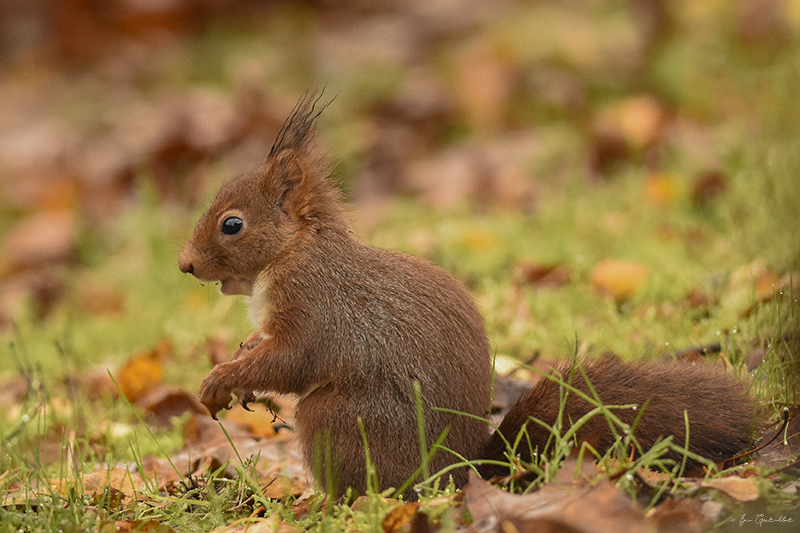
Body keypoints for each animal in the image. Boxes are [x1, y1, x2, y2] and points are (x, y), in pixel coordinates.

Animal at [178, 95, 752, 498]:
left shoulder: (315, 304)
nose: (185, 265)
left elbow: (293, 359)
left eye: (232, 225)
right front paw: (238, 362)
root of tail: (463, 473)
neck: (294, 251)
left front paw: (221, 380)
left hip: (338, 420)